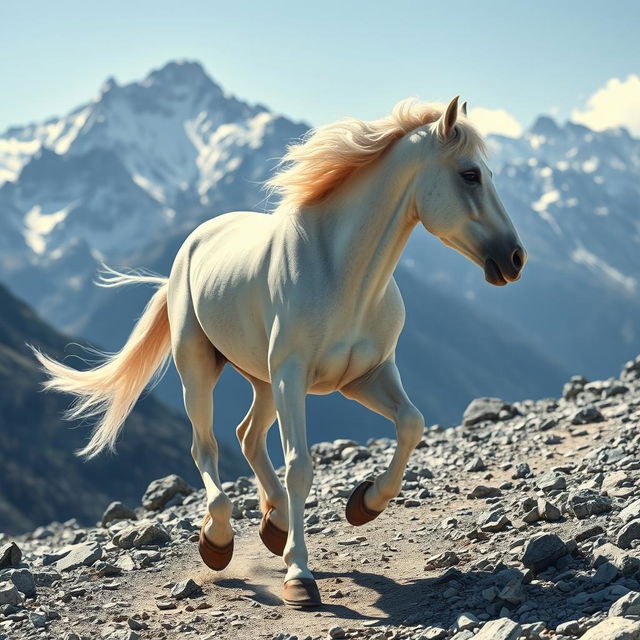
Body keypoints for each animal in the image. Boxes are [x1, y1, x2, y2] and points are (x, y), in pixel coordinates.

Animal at [33, 97, 524, 608]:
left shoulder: (366, 377)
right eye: (470, 174)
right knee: (207, 447)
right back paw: (219, 540)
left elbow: (411, 424)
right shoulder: (294, 376)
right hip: (203, 371)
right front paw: (299, 577)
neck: (340, 274)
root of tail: (193, 243)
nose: (514, 258)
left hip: (264, 381)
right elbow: (300, 468)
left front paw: (364, 504)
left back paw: (275, 523)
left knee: (248, 435)